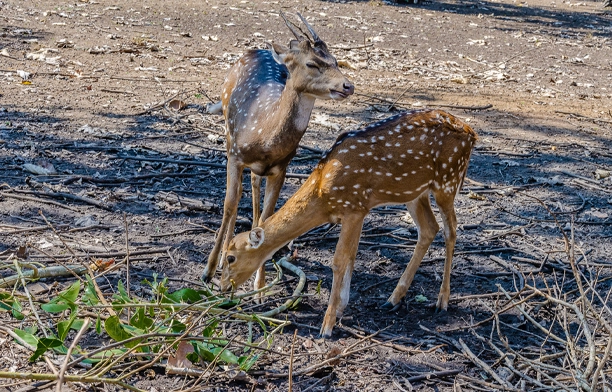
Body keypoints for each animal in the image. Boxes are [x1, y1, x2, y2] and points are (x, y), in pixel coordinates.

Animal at [201, 12, 354, 290]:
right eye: (312, 63)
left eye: (336, 60)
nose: (348, 86)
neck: (265, 136)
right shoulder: (235, 155)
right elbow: (229, 204)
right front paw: (209, 269)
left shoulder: (281, 168)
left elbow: (267, 217)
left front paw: (259, 287)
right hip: (228, 135)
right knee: (238, 195)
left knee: (253, 185)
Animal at [220, 108, 478, 336]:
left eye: (231, 257)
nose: (222, 287)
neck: (323, 192)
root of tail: (471, 133)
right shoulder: (360, 210)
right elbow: (352, 256)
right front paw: (341, 308)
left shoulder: (353, 207)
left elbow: (339, 260)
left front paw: (327, 325)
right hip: (414, 192)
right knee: (429, 228)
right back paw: (393, 298)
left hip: (448, 180)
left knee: (451, 230)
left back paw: (442, 300)